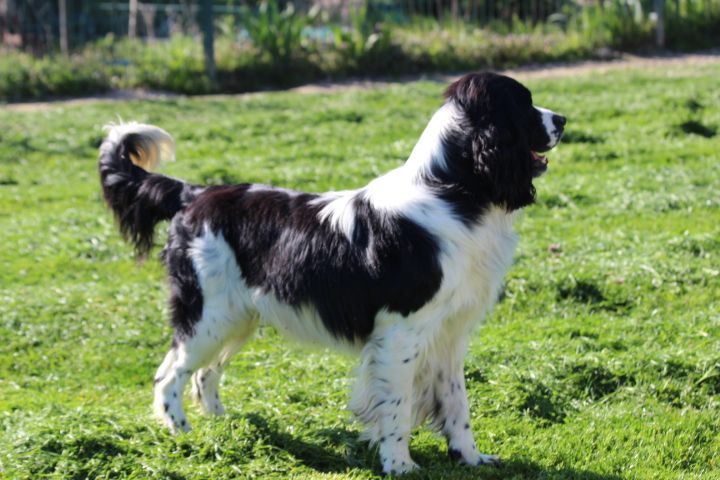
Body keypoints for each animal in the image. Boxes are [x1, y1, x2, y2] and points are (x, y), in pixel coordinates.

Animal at [98, 72, 564, 476]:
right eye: (523, 103)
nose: (561, 120)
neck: (450, 191)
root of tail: (194, 194)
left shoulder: (449, 332)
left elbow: (456, 402)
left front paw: (470, 456)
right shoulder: (400, 333)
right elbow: (396, 404)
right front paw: (399, 465)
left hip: (237, 318)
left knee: (204, 373)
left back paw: (223, 425)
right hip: (207, 315)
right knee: (169, 375)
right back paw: (182, 433)